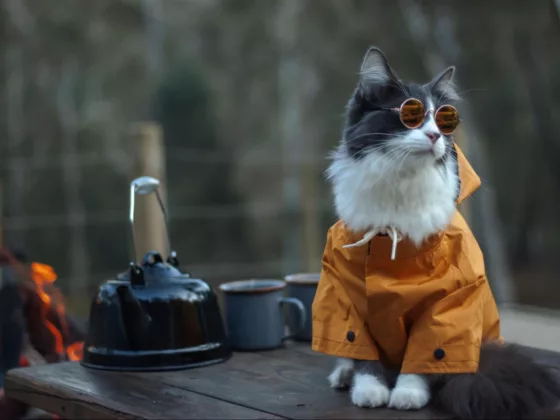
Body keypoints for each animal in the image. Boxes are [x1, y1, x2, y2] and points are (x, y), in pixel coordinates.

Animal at [320, 46, 560, 416]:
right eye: (411, 115)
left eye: (443, 121)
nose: (434, 136)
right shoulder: (353, 301)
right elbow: (364, 355)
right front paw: (370, 389)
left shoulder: (444, 303)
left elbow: (424, 356)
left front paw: (407, 394)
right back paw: (344, 374)